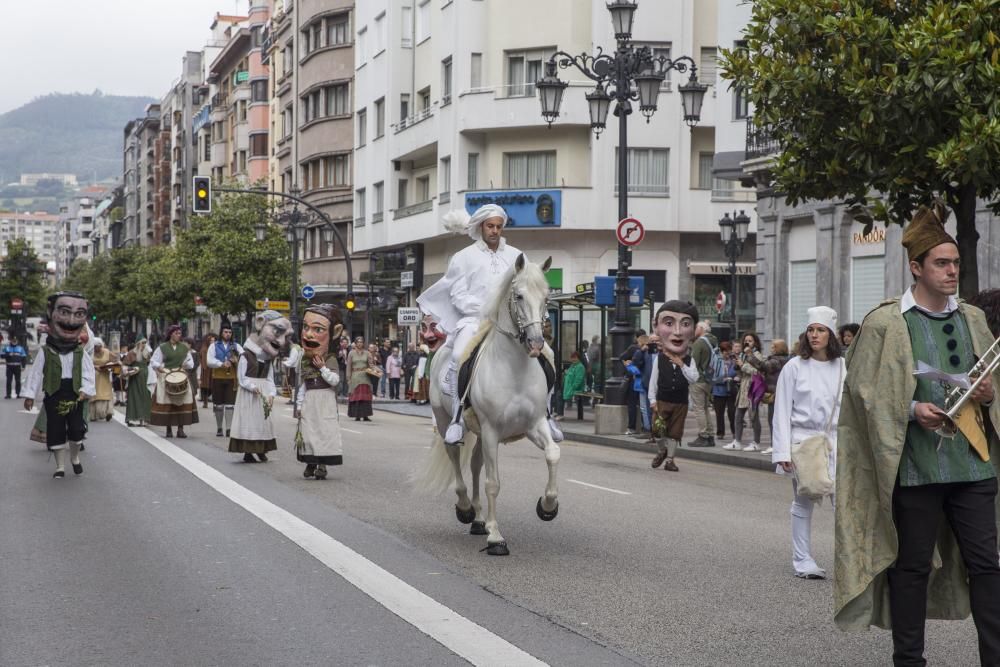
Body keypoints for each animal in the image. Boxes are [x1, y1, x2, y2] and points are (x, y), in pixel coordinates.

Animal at [414, 253, 560, 556]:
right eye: (518, 295)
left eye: (546, 297)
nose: (537, 343)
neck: (515, 369)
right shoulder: (492, 430)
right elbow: (494, 483)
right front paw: (496, 537)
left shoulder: (534, 424)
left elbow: (553, 454)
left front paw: (548, 506)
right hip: (446, 421)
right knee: (455, 457)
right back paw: (466, 509)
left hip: (481, 434)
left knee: (475, 465)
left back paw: (479, 519)